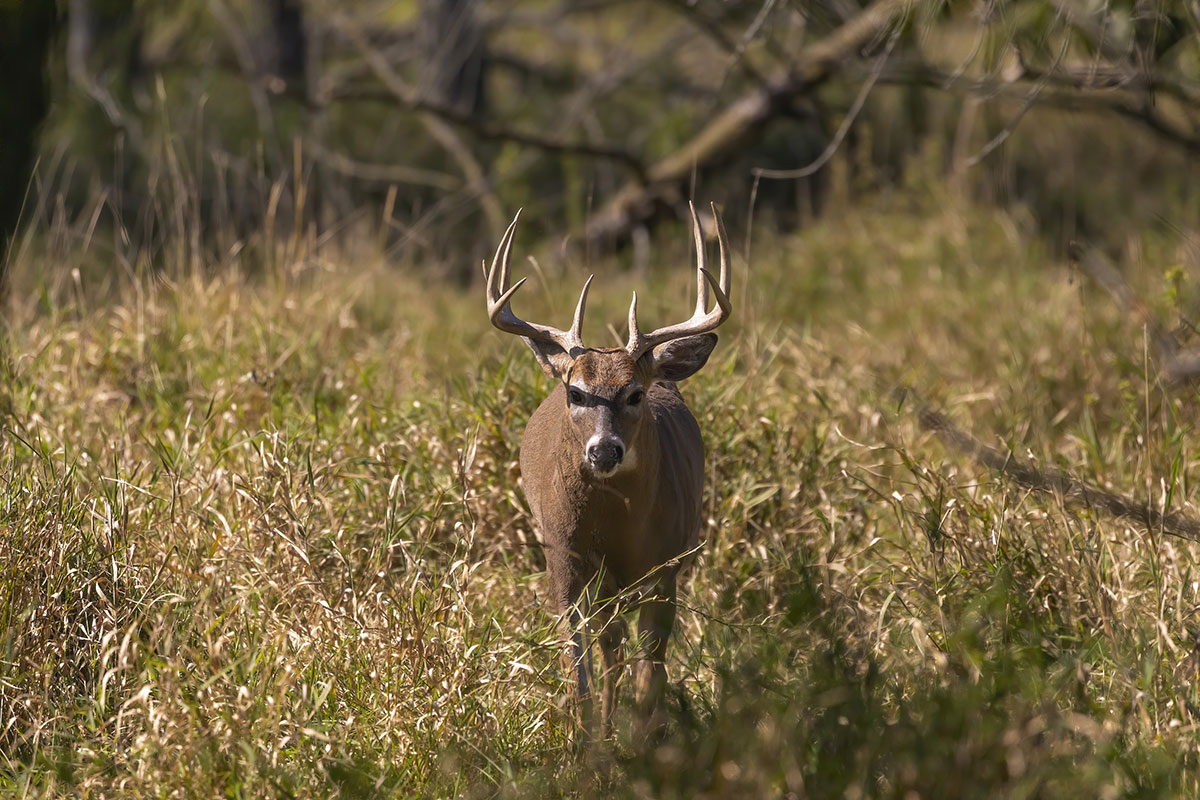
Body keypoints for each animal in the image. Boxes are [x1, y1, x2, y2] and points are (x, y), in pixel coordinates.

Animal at [484, 203, 729, 743]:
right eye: (576, 392)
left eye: (635, 393)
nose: (604, 451)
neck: (620, 532)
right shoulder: (564, 563)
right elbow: (578, 670)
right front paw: (587, 742)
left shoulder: (666, 570)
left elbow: (651, 671)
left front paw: (642, 739)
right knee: (610, 645)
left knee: (623, 649)